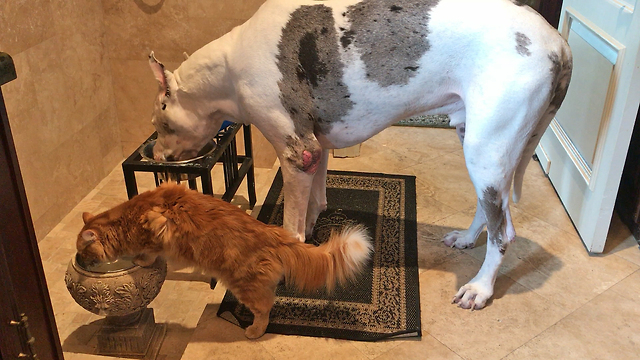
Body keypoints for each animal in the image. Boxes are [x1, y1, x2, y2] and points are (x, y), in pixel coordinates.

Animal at [77, 183, 372, 338]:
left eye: (83, 250)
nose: (79, 259)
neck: (124, 220)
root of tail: (274, 234)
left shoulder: (157, 229)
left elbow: (150, 252)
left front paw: (142, 260)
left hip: (243, 286)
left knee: (265, 308)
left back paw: (254, 331)